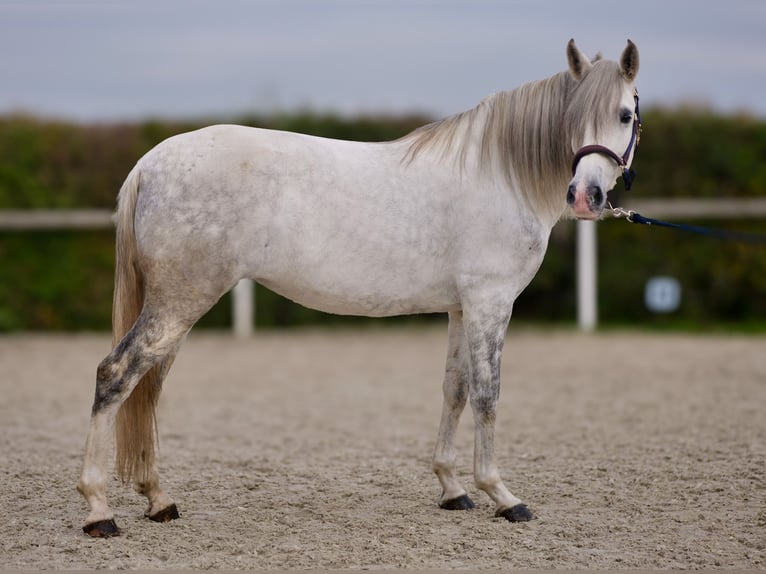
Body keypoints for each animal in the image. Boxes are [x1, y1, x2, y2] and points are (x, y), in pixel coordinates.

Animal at [78, 40, 640, 540]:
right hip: (179, 302)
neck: (500, 175)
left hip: (175, 306)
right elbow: (487, 395)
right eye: (580, 115)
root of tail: (150, 163)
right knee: (117, 374)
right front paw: (502, 496)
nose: (585, 196)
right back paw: (99, 510)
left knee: (147, 389)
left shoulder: (462, 309)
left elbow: (454, 390)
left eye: (625, 115)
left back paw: (158, 499)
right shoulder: (491, 303)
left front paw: (452, 489)